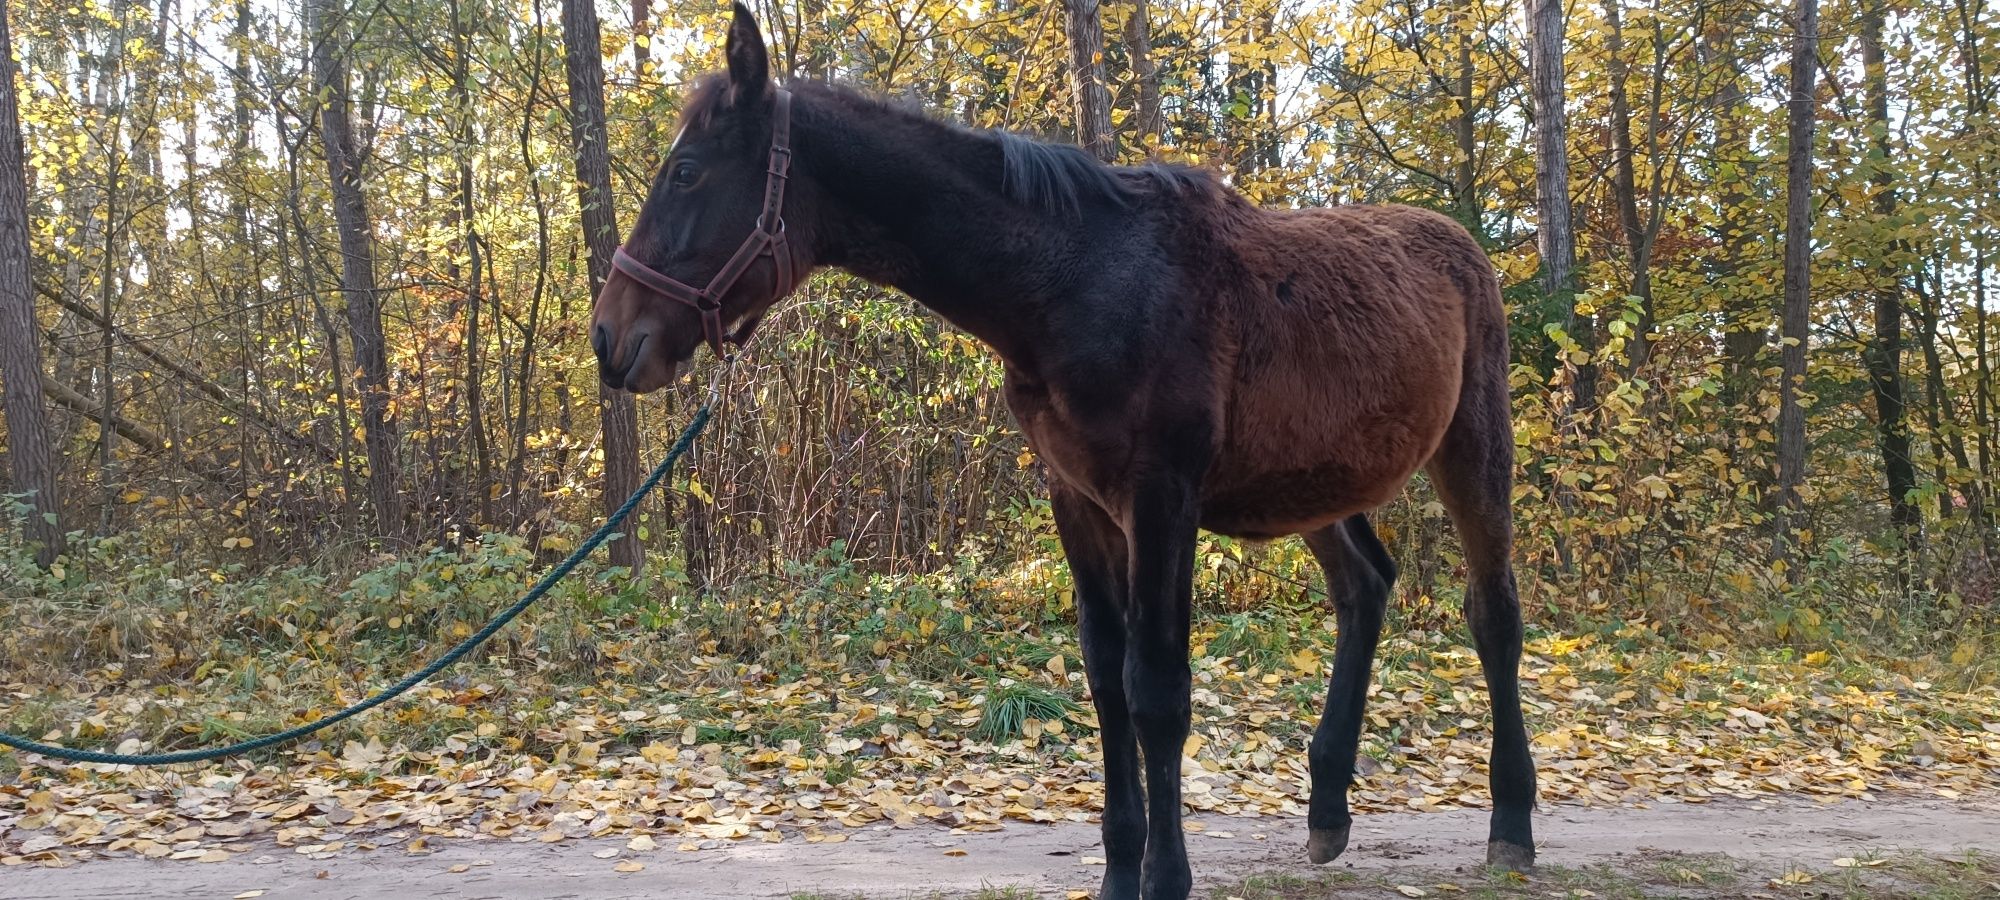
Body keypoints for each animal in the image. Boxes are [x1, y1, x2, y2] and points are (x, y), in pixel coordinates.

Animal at [584, 8, 1536, 900]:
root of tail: (1463, 246)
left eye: (686, 172)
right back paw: (1329, 808)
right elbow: (1107, 679)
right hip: (1311, 488)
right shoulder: (1078, 500)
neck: (1075, 282)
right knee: (1364, 588)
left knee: (1493, 616)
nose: (610, 337)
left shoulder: (1162, 499)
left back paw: (1511, 825)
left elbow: (1157, 688)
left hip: (1473, 451)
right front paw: (1120, 871)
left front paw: (1167, 876)